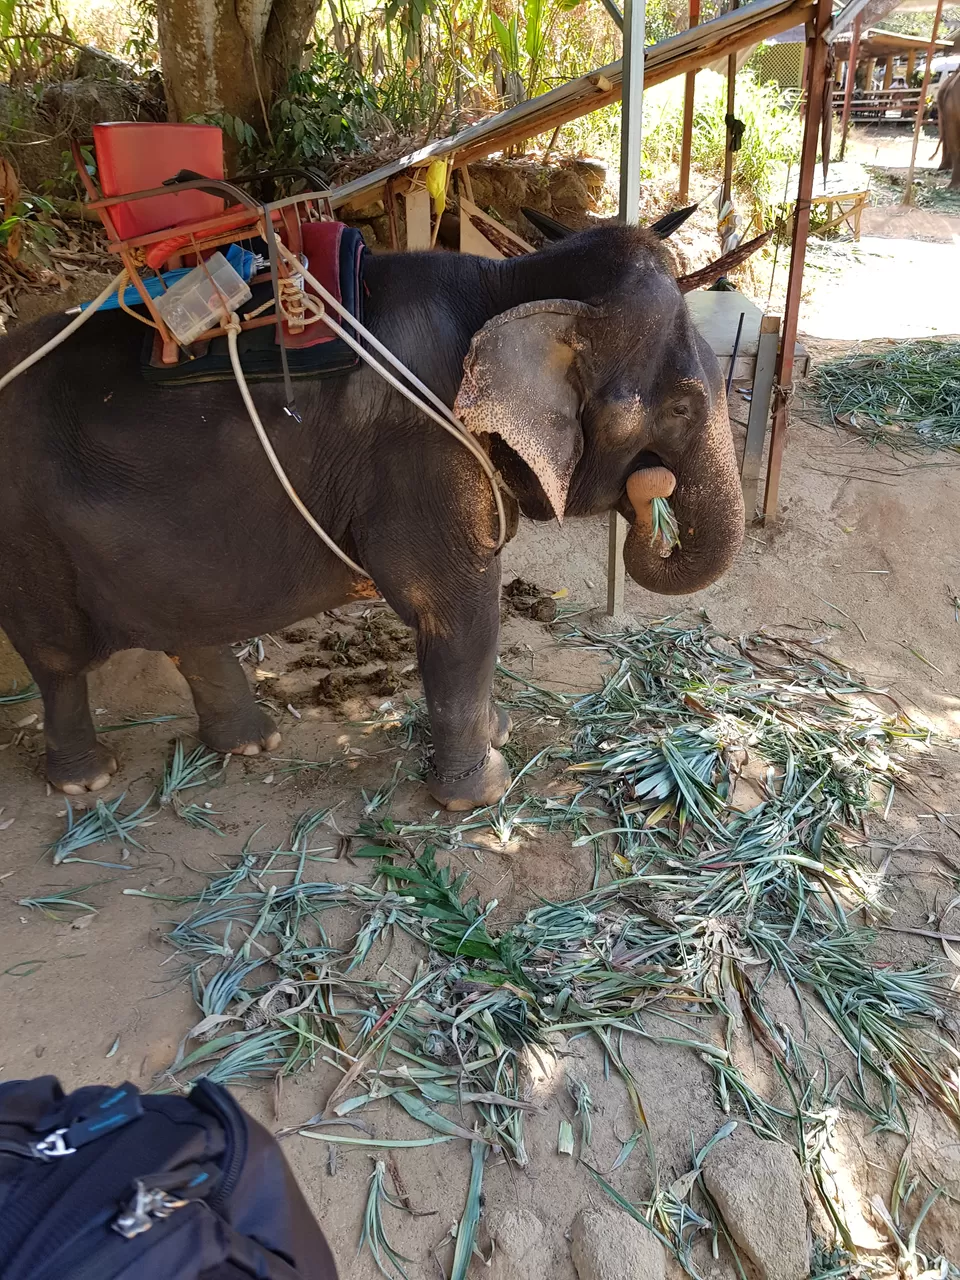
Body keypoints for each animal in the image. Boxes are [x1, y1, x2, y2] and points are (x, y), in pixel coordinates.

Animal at [0, 223, 744, 811]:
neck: (510, 278)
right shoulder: (422, 450)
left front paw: (497, 736)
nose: (651, 489)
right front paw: (479, 795)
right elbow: (459, 607)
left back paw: (251, 745)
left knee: (184, 627)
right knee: (58, 658)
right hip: (26, 535)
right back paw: (87, 782)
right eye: (680, 406)